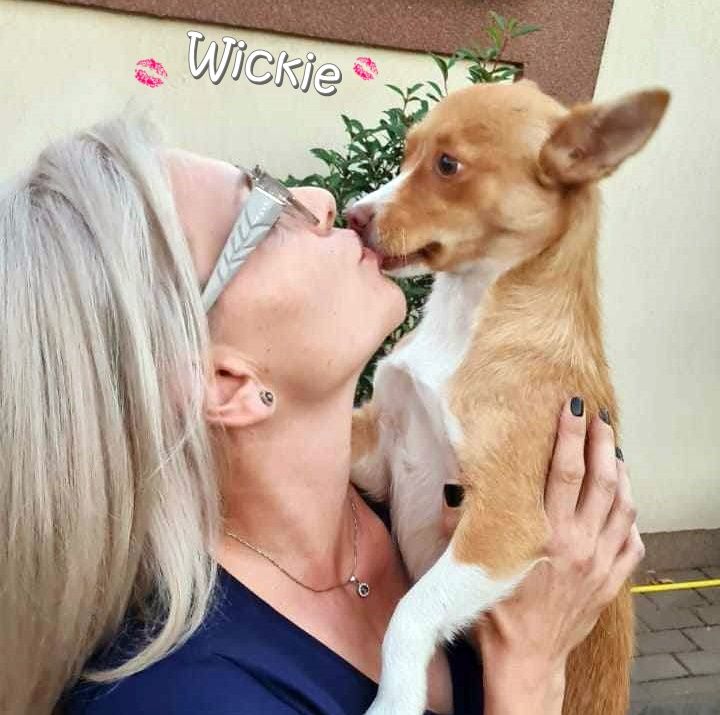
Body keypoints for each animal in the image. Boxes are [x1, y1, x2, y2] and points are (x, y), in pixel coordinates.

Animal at [346, 79, 669, 715]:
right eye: (407, 154)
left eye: (448, 166)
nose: (351, 216)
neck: (464, 316)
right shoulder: (381, 448)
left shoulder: (503, 526)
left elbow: (410, 614)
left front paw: (393, 701)